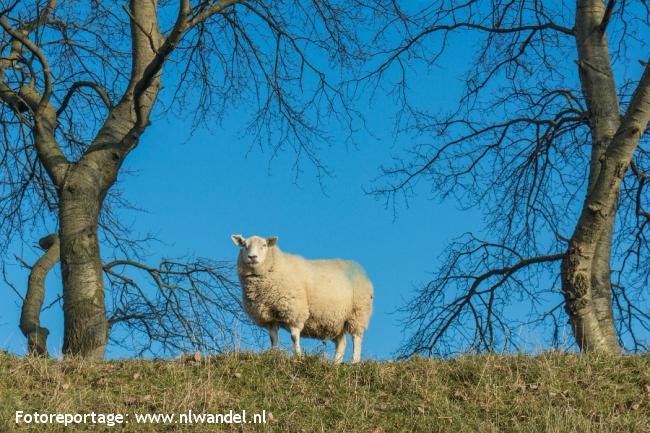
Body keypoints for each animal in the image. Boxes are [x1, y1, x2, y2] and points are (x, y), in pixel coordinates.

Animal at [230, 233, 372, 362]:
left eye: (264, 245)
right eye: (244, 245)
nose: (252, 257)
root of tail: (361, 270)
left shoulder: (294, 311)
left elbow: (294, 336)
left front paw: (299, 356)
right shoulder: (269, 317)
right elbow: (273, 337)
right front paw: (274, 354)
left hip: (357, 313)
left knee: (357, 338)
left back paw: (354, 361)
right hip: (336, 319)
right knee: (341, 343)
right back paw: (336, 363)